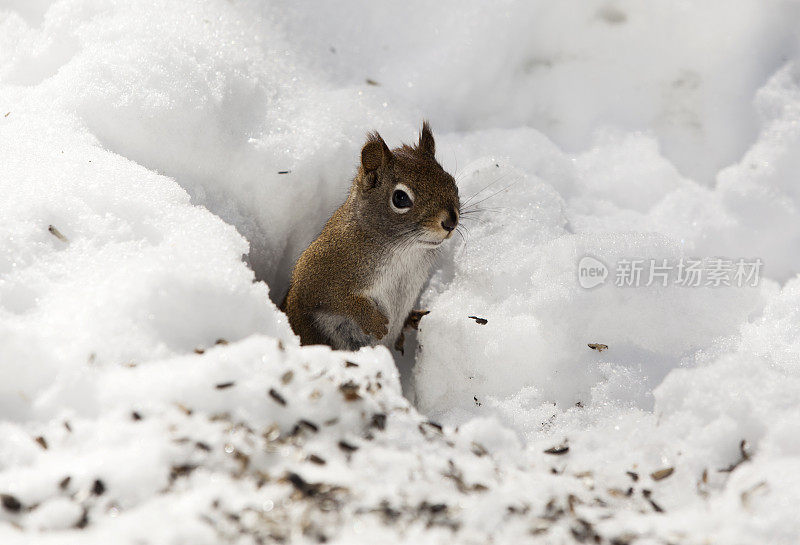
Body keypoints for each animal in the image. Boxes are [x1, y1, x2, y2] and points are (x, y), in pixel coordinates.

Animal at [282, 121, 460, 350]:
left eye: (451, 181)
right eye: (400, 198)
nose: (450, 222)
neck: (405, 251)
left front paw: (411, 319)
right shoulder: (318, 268)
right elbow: (330, 297)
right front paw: (371, 319)